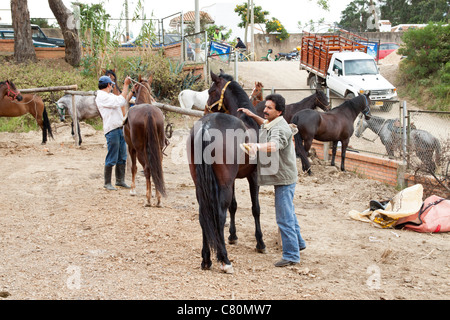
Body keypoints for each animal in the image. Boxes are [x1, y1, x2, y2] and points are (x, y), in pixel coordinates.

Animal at [187, 71, 266, 274]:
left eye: (210, 91)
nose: (206, 110)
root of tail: (206, 126)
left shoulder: (234, 180)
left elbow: (234, 206)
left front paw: (233, 236)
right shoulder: (252, 177)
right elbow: (255, 208)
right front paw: (260, 243)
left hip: (201, 186)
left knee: (204, 215)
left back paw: (206, 259)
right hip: (223, 184)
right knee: (219, 216)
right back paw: (224, 260)